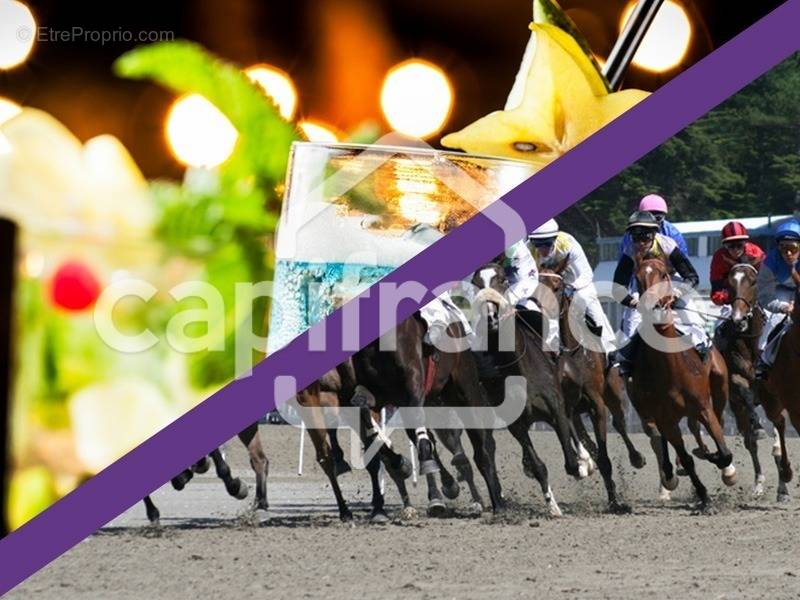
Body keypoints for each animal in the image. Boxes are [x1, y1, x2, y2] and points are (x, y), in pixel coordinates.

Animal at [536, 268, 644, 516]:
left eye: (557, 287)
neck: (572, 353)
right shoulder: (566, 405)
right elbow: (582, 441)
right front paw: (584, 464)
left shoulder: (597, 405)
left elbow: (605, 456)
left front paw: (615, 502)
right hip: (578, 412)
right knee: (586, 436)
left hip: (613, 394)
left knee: (620, 424)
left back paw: (636, 457)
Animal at [632, 255, 736, 508]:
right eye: (637, 278)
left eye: (663, 274)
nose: (653, 308)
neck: (670, 369)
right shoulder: (664, 417)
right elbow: (685, 458)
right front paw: (703, 495)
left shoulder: (702, 405)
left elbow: (723, 449)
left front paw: (719, 462)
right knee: (666, 439)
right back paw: (671, 473)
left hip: (719, 386)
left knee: (712, 420)